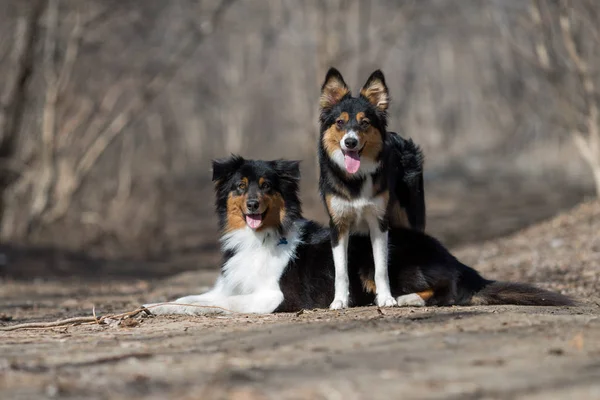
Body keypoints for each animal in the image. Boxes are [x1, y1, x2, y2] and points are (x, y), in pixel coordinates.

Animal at [148, 156, 576, 316]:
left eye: (267, 186)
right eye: (240, 186)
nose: (252, 205)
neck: (260, 238)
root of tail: (454, 257)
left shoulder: (273, 297)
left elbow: (220, 304)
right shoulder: (227, 286)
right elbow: (190, 297)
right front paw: (155, 306)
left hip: (375, 258)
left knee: (444, 291)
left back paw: (400, 299)